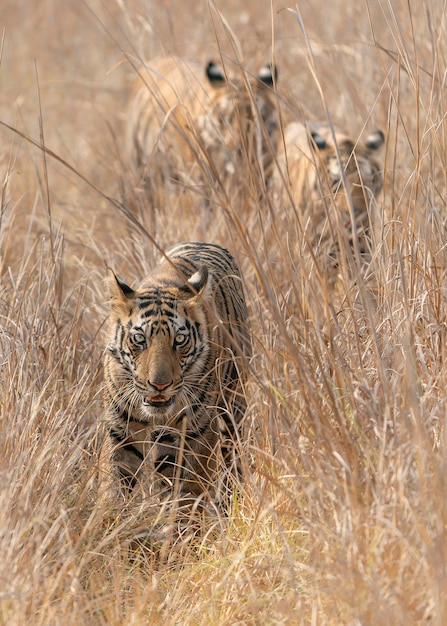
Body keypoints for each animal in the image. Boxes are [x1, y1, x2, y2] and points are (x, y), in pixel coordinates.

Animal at [103, 239, 254, 512]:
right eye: (139, 339)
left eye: (180, 339)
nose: (159, 385)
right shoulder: (120, 428)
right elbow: (113, 483)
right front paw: (108, 519)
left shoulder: (197, 431)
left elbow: (191, 490)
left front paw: (186, 523)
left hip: (233, 406)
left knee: (232, 458)